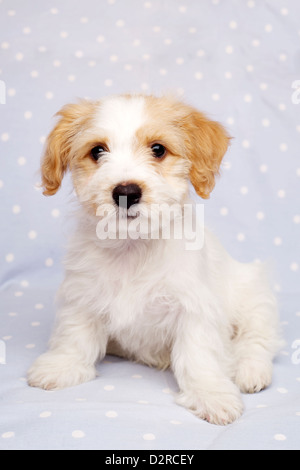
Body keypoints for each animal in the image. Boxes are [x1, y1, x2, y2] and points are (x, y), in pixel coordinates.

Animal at [27, 93, 280, 424]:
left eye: (158, 149)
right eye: (97, 151)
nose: (126, 192)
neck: (133, 246)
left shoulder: (194, 309)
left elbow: (200, 355)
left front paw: (211, 394)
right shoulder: (82, 295)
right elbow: (74, 335)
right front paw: (61, 366)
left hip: (253, 294)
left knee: (258, 337)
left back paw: (250, 370)